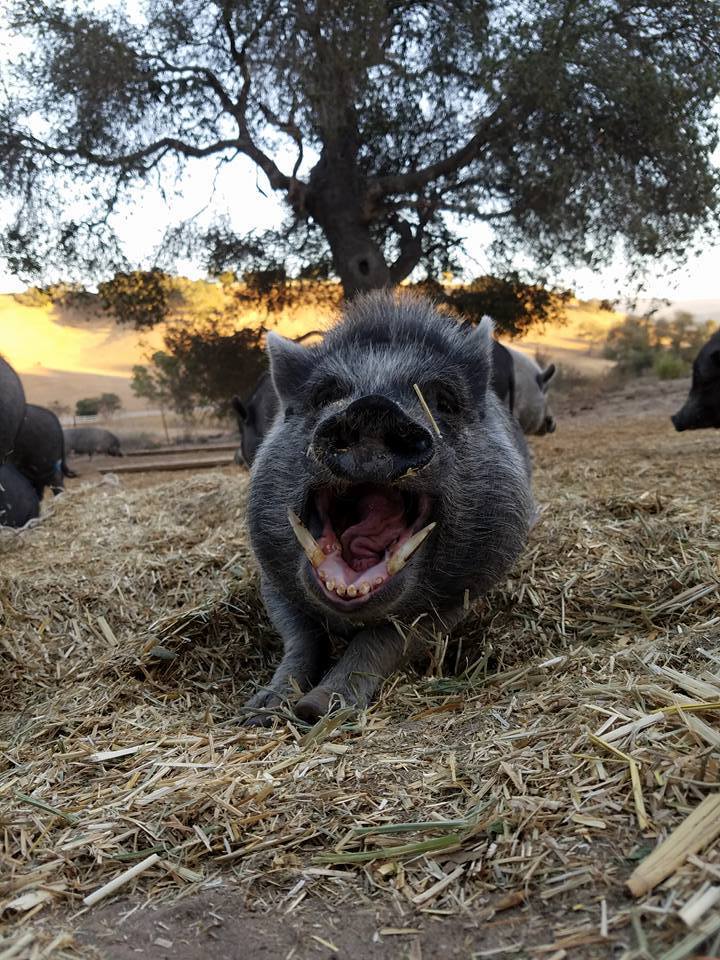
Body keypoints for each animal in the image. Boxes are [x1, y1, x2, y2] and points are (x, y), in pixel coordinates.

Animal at [244, 291, 534, 725]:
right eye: (324, 396)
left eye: (443, 401)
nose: (372, 408)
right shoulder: (271, 579)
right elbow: (301, 637)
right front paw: (259, 712)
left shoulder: (462, 594)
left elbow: (382, 640)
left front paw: (318, 710)